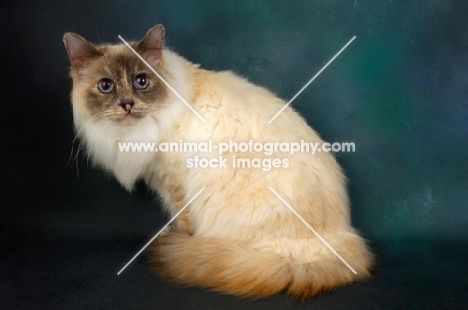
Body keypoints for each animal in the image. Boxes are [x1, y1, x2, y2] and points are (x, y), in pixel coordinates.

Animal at [63, 23, 372, 300]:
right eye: (106, 86)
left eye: (141, 81)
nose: (127, 104)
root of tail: (341, 240)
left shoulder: (176, 186)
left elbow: (185, 224)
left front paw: (185, 240)